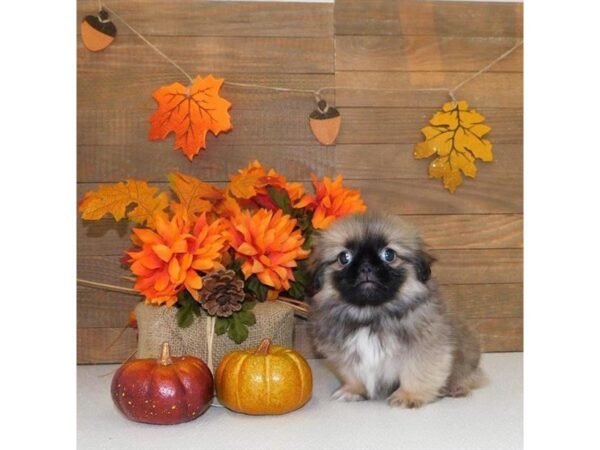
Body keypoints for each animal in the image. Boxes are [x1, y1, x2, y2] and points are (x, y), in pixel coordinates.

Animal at [308, 212, 486, 408]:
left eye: (389, 255)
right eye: (344, 257)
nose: (366, 267)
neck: (372, 315)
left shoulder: (424, 348)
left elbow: (416, 372)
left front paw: (409, 396)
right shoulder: (346, 355)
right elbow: (353, 375)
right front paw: (353, 391)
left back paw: (457, 388)